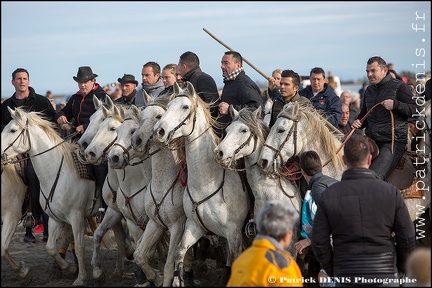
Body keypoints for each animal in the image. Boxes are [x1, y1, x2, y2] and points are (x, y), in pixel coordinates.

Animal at [1, 107, 102, 286]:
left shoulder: (75, 216)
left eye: (12, 130)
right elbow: (50, 248)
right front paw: (70, 268)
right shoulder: (56, 217)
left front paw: (81, 278)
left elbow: (81, 246)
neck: (58, 172)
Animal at [153, 82, 250, 286]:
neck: (206, 182)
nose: (159, 131)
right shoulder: (193, 226)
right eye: (169, 105)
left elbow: (232, 262)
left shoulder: (234, 233)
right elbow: (179, 254)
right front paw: (179, 279)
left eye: (185, 107)